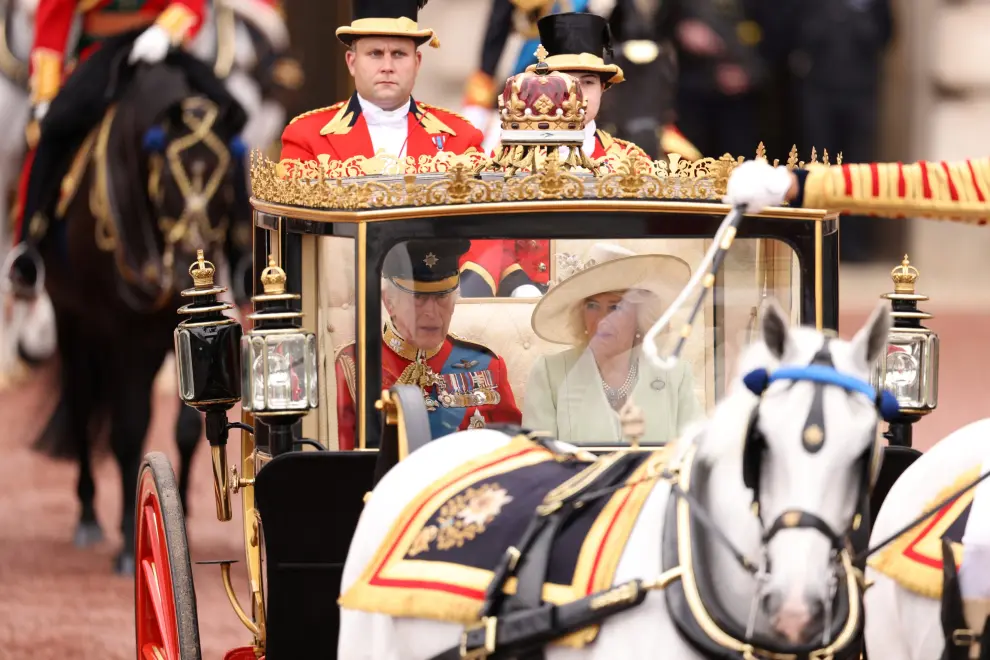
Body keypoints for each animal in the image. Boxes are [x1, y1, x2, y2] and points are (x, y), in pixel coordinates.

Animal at [22, 36, 248, 576]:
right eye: (166, 175)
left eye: (227, 176)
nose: (192, 267)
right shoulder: (122, 335)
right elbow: (128, 430)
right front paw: (132, 539)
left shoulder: (177, 335)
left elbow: (186, 428)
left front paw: (178, 519)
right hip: (74, 323)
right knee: (83, 405)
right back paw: (88, 515)